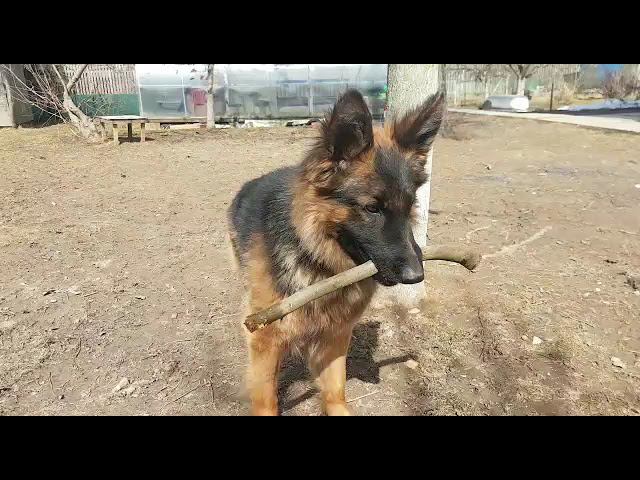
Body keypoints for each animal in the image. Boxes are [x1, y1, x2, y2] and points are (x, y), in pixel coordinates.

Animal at [227, 89, 444, 415]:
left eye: (409, 207)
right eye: (372, 208)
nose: (415, 275)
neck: (320, 264)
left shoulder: (336, 335)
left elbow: (335, 389)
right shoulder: (265, 339)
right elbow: (266, 399)